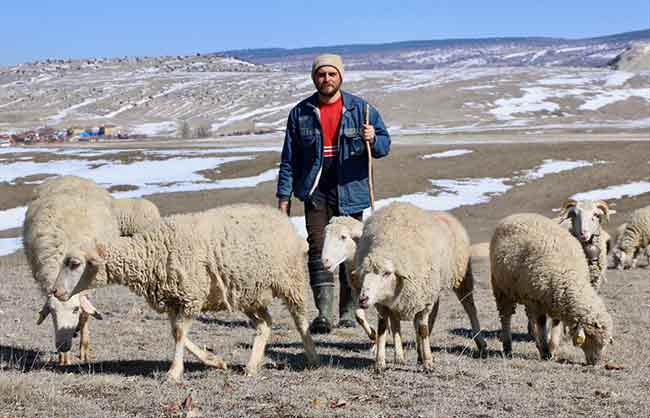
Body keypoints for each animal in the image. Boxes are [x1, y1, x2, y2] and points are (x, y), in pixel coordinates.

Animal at [49, 204, 318, 380]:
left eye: (74, 263)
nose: (55, 290)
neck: (152, 252)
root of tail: (281, 216)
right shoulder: (173, 300)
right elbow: (177, 334)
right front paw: (215, 361)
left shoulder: (190, 297)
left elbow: (179, 334)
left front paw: (174, 372)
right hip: (247, 293)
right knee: (265, 325)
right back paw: (252, 367)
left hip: (291, 280)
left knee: (300, 319)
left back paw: (313, 357)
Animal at [352, 202, 484, 370]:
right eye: (364, 273)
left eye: (387, 273)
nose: (363, 299)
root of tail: (444, 214)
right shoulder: (385, 304)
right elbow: (382, 329)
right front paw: (380, 363)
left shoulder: (423, 300)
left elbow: (422, 329)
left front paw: (428, 363)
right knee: (404, 322)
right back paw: (403, 356)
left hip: (460, 277)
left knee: (470, 308)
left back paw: (480, 341)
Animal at [492, 214, 612, 364]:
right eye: (590, 337)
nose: (595, 363)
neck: (567, 274)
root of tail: (513, 216)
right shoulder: (537, 302)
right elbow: (542, 324)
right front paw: (545, 351)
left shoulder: (555, 300)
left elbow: (555, 324)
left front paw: (552, 348)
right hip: (502, 289)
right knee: (506, 317)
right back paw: (507, 347)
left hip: (526, 294)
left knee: (529, 318)